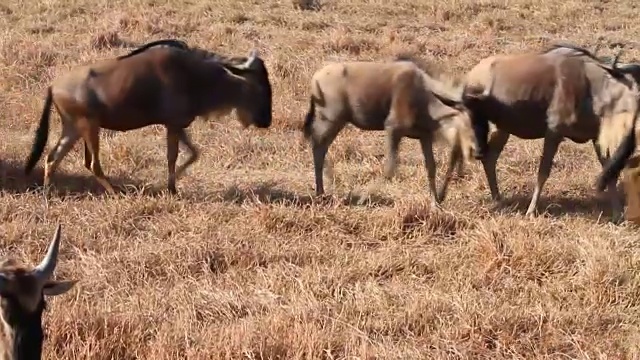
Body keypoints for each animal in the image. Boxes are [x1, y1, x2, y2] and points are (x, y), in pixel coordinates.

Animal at [24, 39, 272, 194]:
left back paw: (47, 194)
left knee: (52, 158)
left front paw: (172, 184)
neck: (194, 75)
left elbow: (193, 153)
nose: (266, 121)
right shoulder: (173, 125)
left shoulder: (177, 125)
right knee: (92, 163)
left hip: (73, 129)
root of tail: (53, 85)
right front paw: (170, 188)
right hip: (89, 128)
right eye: (260, 86)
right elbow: (173, 157)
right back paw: (116, 193)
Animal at [302, 57, 478, 207]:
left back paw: (322, 191)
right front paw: (365, 198)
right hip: (331, 121)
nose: (474, 151)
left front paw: (435, 203)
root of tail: (315, 79)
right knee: (318, 147)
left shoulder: (424, 136)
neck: (424, 95)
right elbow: (390, 169)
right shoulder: (393, 129)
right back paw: (321, 192)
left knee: (320, 147)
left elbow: (431, 168)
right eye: (469, 124)